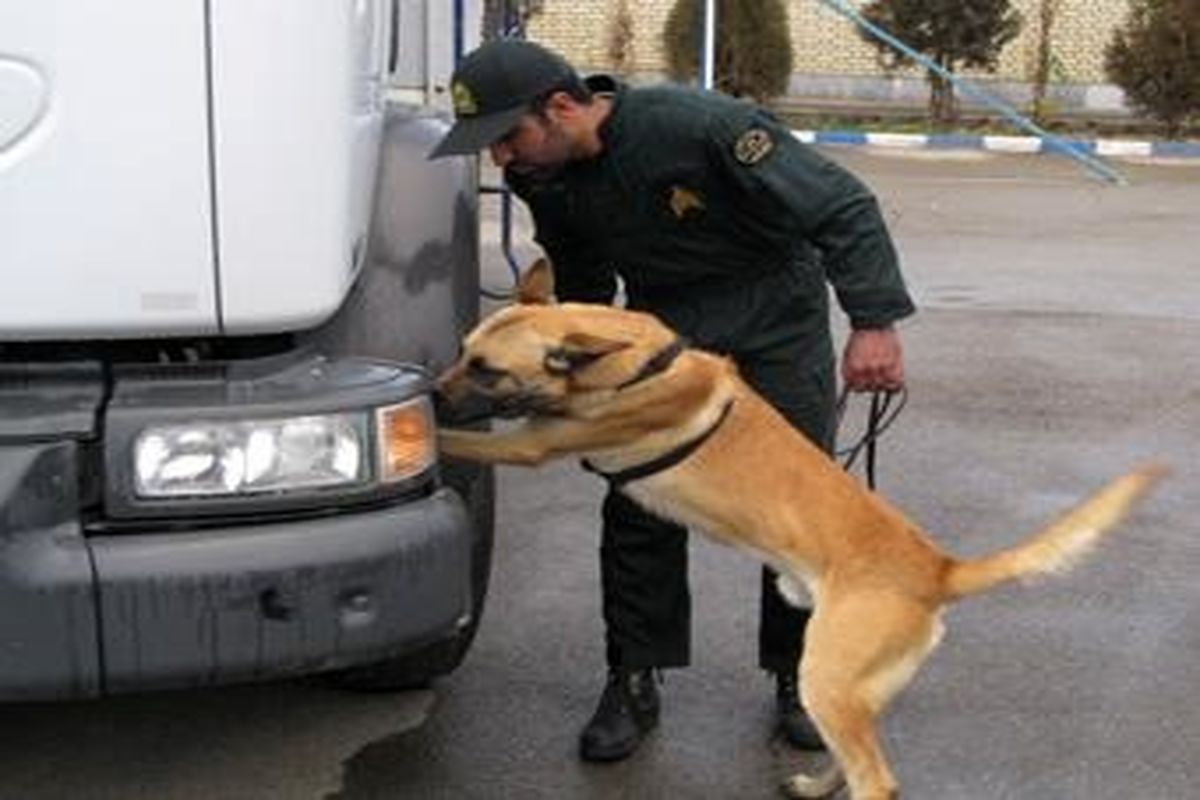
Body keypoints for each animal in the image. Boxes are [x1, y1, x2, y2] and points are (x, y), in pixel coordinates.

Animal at [436, 260, 1166, 796]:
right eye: (461, 352)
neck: (636, 361)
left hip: (826, 679)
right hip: (845, 692)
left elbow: (463, 440)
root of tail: (938, 568)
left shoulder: (533, 445)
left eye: (486, 370)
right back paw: (815, 784)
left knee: (879, 781)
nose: (433, 391)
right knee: (852, 760)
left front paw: (426, 430)